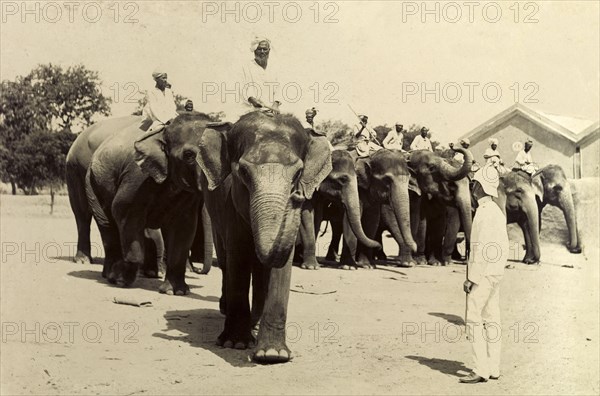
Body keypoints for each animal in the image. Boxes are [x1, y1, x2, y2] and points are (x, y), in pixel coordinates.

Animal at [66, 113, 213, 276]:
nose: (198, 270)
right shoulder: (140, 176)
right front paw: (158, 271)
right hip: (75, 169)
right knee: (82, 213)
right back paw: (84, 260)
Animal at [196, 110, 332, 362]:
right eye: (243, 172)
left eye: (298, 173)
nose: (297, 197)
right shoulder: (231, 208)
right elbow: (238, 258)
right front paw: (236, 344)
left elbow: (281, 267)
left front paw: (272, 354)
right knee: (226, 260)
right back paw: (230, 313)